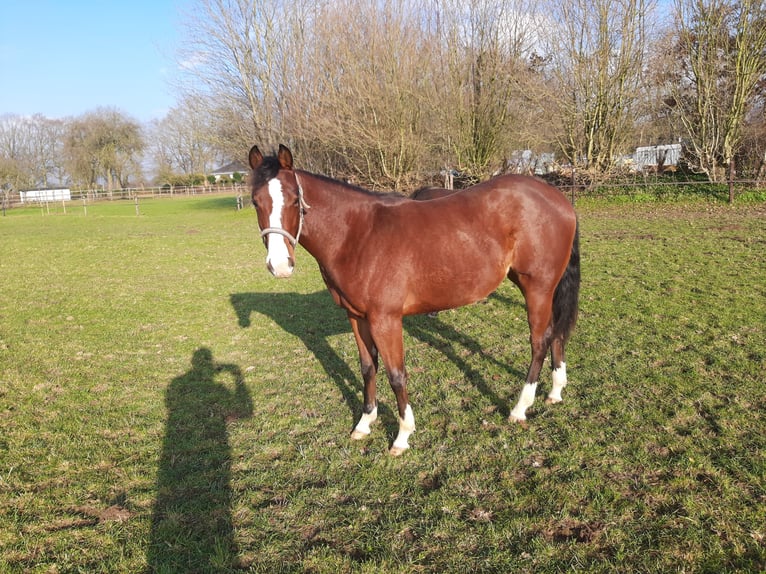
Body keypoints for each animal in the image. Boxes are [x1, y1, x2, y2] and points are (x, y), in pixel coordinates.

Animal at [248, 144, 580, 456]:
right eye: (255, 202)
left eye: (295, 200)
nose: (280, 265)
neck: (358, 235)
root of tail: (557, 198)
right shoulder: (356, 317)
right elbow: (368, 367)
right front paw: (364, 423)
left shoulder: (385, 320)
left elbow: (396, 375)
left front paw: (402, 436)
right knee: (556, 333)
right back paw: (555, 392)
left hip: (537, 287)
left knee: (540, 341)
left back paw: (519, 408)